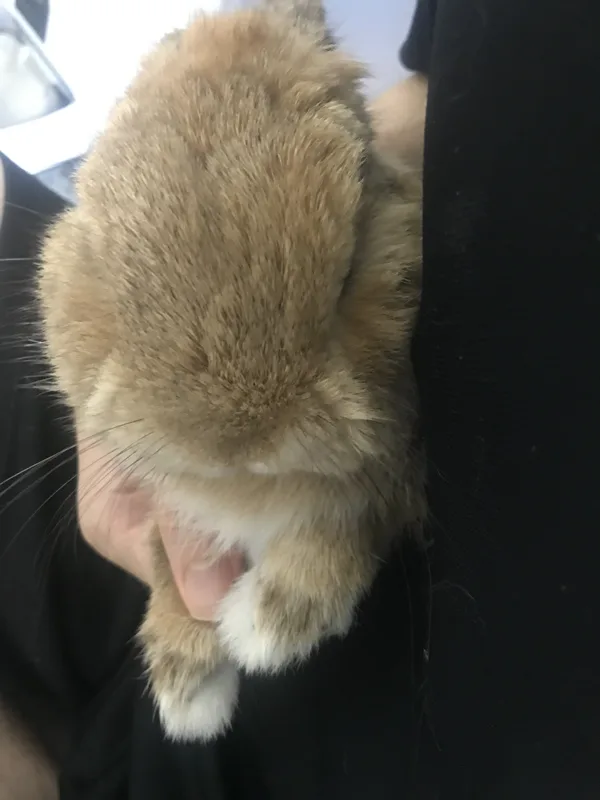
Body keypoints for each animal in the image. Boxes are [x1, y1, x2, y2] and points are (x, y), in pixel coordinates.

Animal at [37, 0, 425, 742]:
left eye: (352, 265)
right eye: (101, 261)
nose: (237, 442)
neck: (248, 493)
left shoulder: (395, 479)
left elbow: (347, 527)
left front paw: (268, 623)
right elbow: (164, 553)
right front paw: (186, 684)